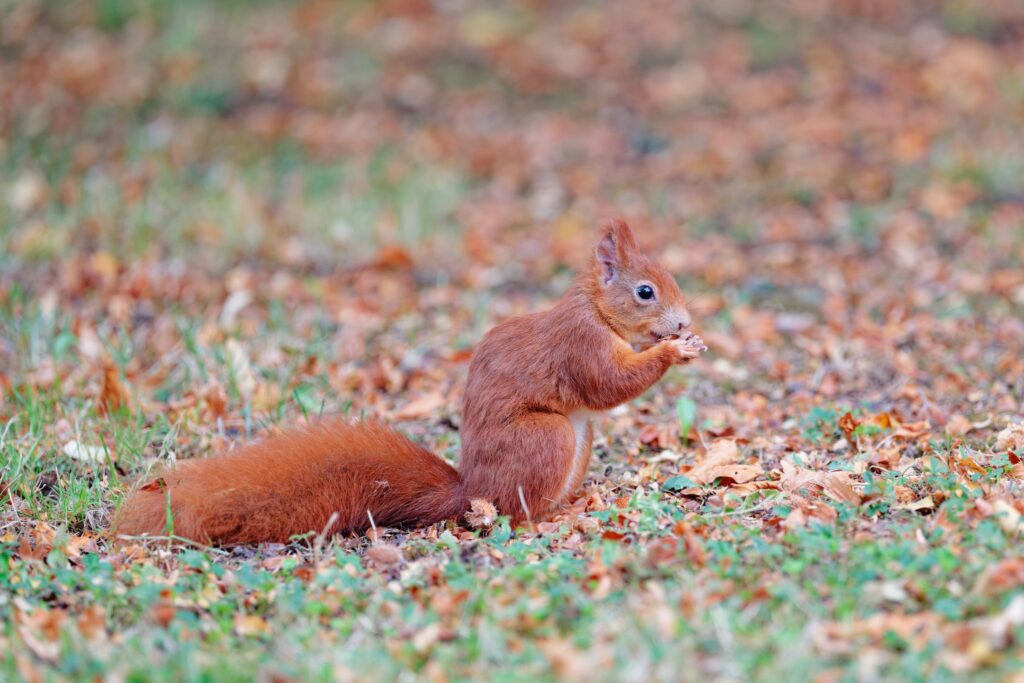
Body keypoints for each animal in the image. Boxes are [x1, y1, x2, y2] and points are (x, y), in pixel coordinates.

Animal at [115, 218, 706, 545]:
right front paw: (673, 350)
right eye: (646, 292)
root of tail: (472, 491)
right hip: (548, 438)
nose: (683, 321)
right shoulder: (578, 343)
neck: (597, 310)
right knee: (517, 510)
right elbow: (608, 382)